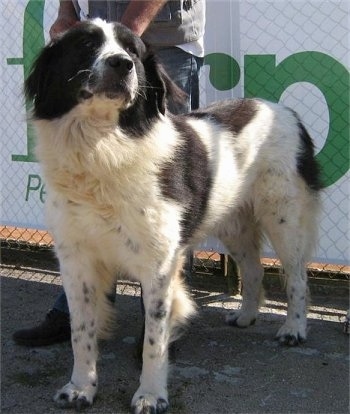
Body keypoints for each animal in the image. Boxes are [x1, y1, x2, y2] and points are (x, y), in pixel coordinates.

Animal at [24, 18, 320, 410]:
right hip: (234, 225)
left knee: (297, 276)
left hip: (284, 217)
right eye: (86, 44)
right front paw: (80, 388)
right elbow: (81, 334)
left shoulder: (159, 266)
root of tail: (284, 110)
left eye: (132, 50)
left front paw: (151, 395)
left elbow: (154, 341)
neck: (103, 147)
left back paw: (294, 329)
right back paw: (246, 317)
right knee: (254, 270)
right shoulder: (76, 262)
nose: (122, 64)